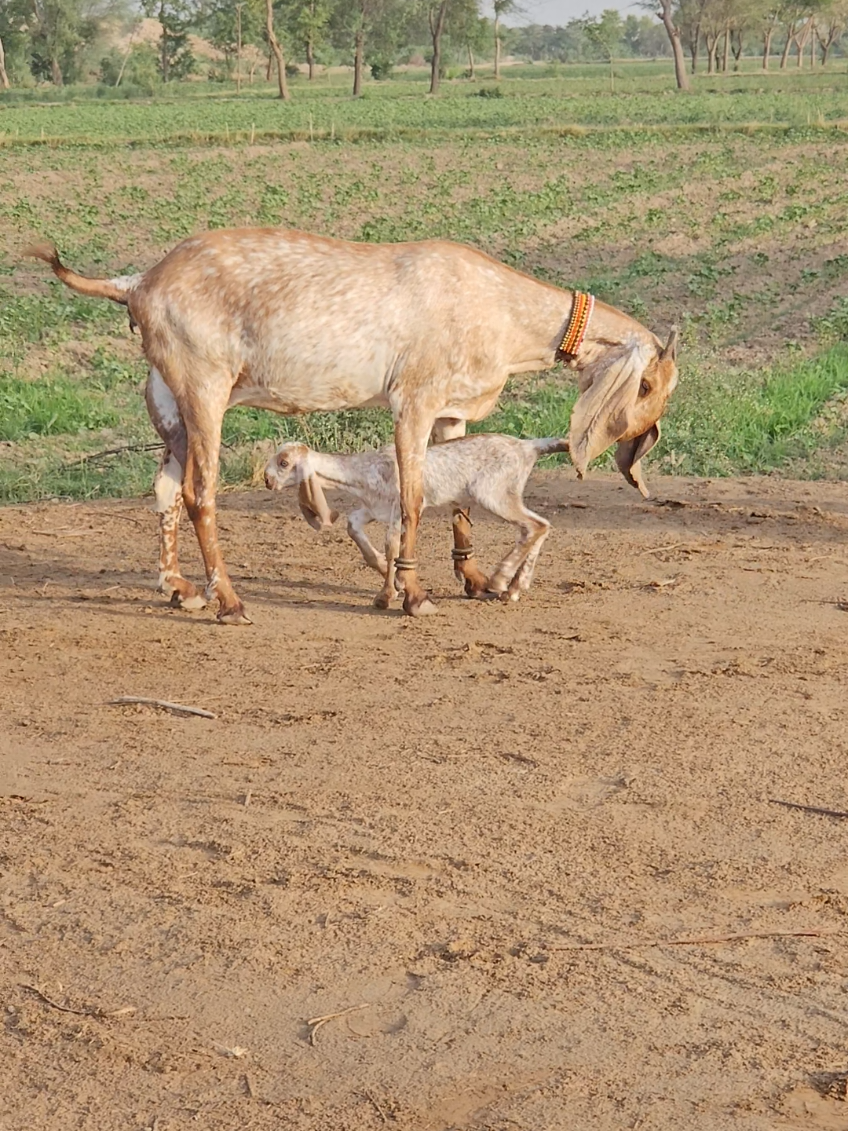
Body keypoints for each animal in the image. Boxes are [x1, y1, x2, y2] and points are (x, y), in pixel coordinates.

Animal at [265, 434, 568, 607]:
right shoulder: (373, 509)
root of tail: (528, 446)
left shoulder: (401, 508)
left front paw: (386, 595)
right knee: (540, 526)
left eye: (284, 463)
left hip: (493, 493)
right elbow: (354, 527)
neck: (362, 471)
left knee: (535, 525)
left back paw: (500, 579)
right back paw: (514, 589)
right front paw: (390, 575)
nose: (267, 481)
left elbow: (392, 546)